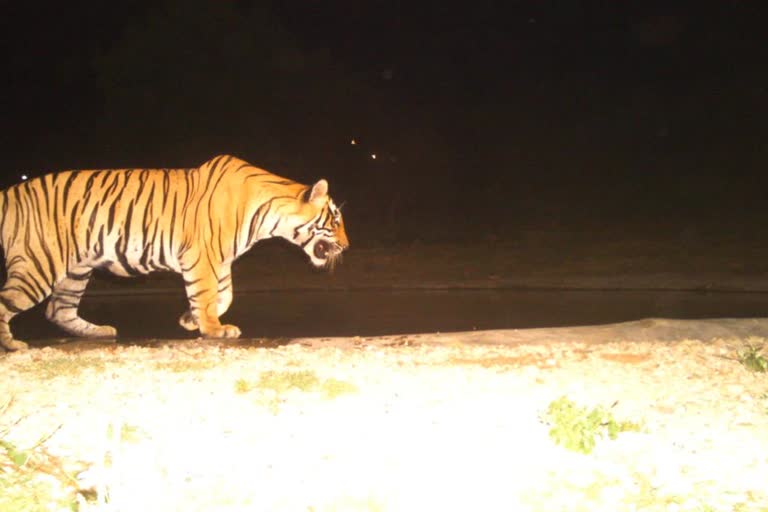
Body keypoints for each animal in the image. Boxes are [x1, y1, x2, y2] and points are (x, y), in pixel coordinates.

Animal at [0, 154, 348, 350]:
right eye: (335, 220)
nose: (347, 245)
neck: (268, 216)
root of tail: (12, 192)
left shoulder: (220, 260)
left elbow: (224, 295)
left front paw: (190, 320)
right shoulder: (202, 258)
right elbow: (206, 294)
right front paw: (213, 329)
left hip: (76, 270)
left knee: (58, 309)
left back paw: (99, 332)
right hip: (39, 263)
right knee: (10, 302)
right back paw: (13, 345)